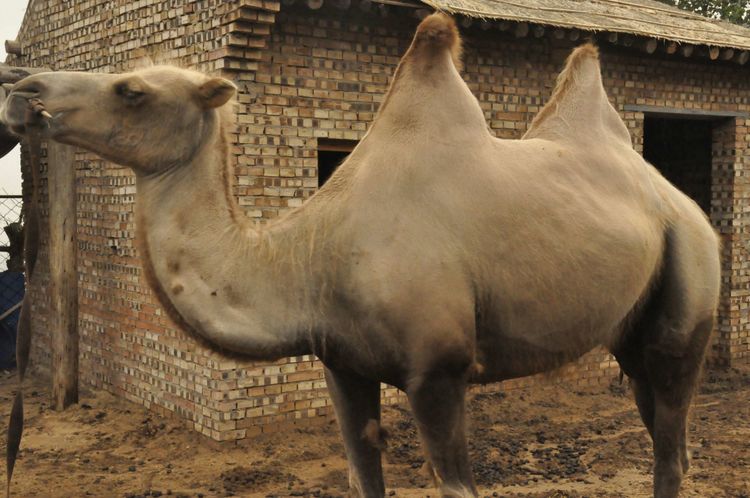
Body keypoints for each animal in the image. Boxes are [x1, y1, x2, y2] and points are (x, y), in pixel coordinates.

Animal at [1, 13, 720, 498]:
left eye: (132, 90)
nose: (22, 91)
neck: (310, 256)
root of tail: (685, 206)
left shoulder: (439, 370)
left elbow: (456, 485)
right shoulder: (342, 364)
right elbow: (361, 473)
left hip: (690, 281)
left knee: (672, 441)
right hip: (632, 328)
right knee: (663, 432)